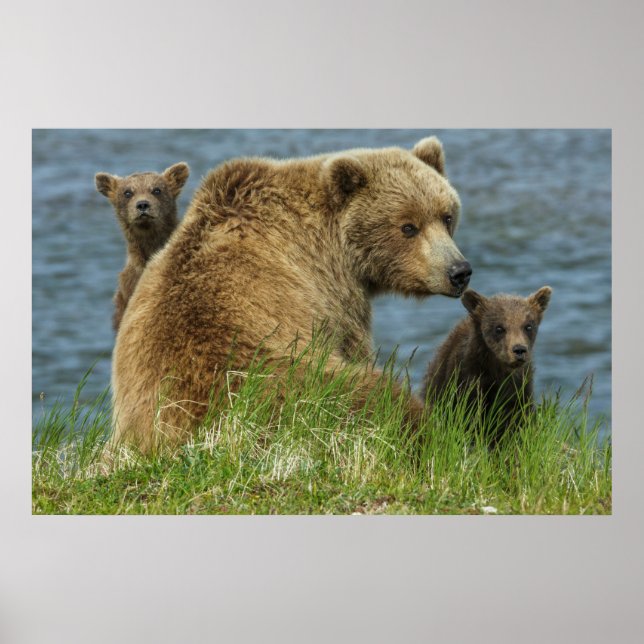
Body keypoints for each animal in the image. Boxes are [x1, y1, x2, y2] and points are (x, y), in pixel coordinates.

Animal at [111, 137, 472, 453]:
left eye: (446, 216)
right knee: (375, 398)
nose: (458, 271)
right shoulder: (332, 293)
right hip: (287, 386)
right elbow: (354, 345)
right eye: (408, 227)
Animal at [422, 286, 552, 440]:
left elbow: (517, 421)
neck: (497, 371)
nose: (519, 350)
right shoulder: (468, 381)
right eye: (499, 328)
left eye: (528, 326)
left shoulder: (519, 388)